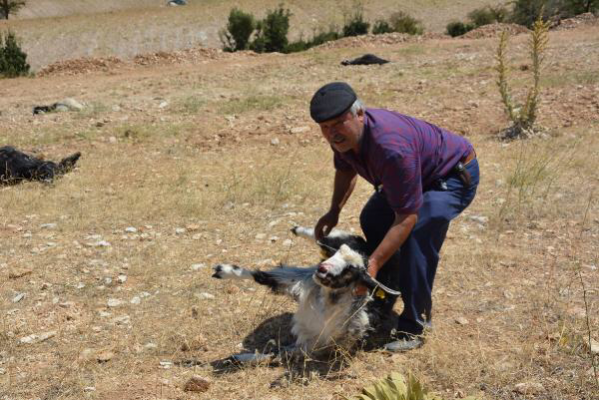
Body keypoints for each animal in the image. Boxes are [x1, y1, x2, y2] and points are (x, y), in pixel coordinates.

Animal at [213, 225, 400, 360]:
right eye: (334, 256)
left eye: (350, 270)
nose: (322, 268)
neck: (326, 305)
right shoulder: (297, 282)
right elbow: (261, 276)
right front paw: (222, 271)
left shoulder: (316, 343)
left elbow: (277, 354)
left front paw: (236, 358)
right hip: (337, 239)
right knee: (322, 234)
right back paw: (297, 229)